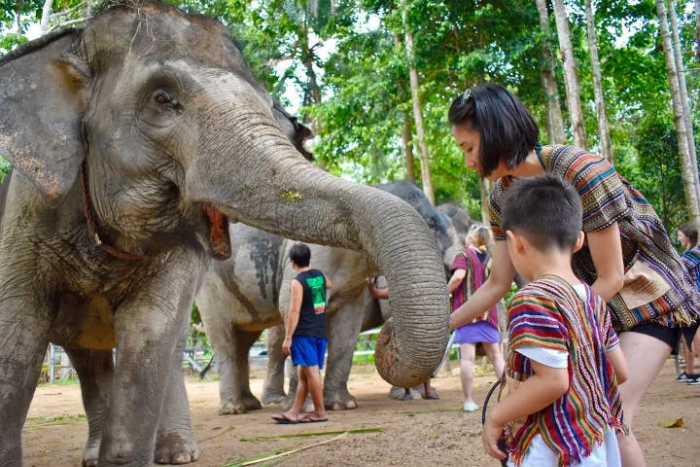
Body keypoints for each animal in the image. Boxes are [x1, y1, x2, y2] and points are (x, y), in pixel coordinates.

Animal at [196, 180, 460, 413]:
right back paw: (236, 408)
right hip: (209, 290)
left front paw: (344, 405)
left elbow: (348, 326)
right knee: (225, 340)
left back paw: (252, 404)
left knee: (245, 340)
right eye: (431, 224)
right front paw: (304, 408)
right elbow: (291, 307)